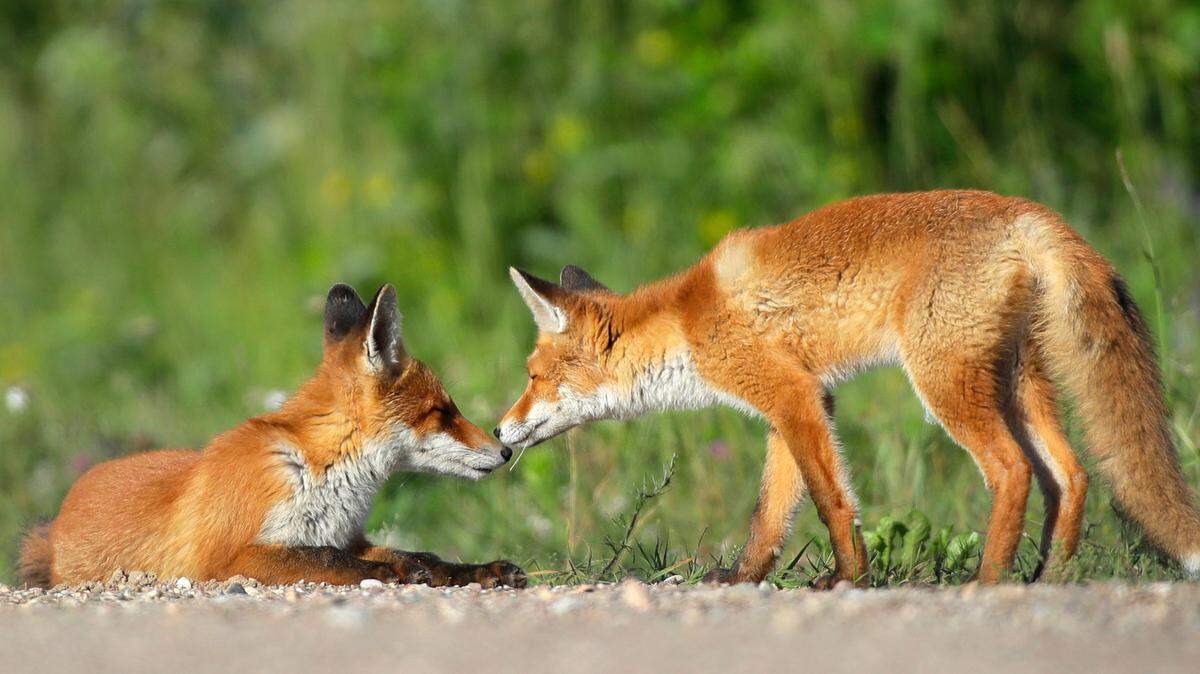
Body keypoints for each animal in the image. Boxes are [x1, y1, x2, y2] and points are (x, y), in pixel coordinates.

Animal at [18, 283, 525, 589]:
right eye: (441, 411)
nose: (505, 449)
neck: (321, 472)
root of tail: (64, 509)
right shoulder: (230, 559)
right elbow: (332, 562)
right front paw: (393, 572)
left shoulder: (345, 536)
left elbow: (422, 553)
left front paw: (478, 569)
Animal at [495, 189, 1200, 587]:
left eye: (531, 377)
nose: (500, 431)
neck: (687, 322)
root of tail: (1030, 215)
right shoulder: (796, 405)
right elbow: (771, 515)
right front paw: (742, 579)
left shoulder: (793, 397)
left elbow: (832, 503)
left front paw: (848, 579)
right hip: (1016, 384)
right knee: (1072, 474)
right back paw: (1049, 577)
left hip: (945, 383)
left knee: (1013, 471)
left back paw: (988, 579)